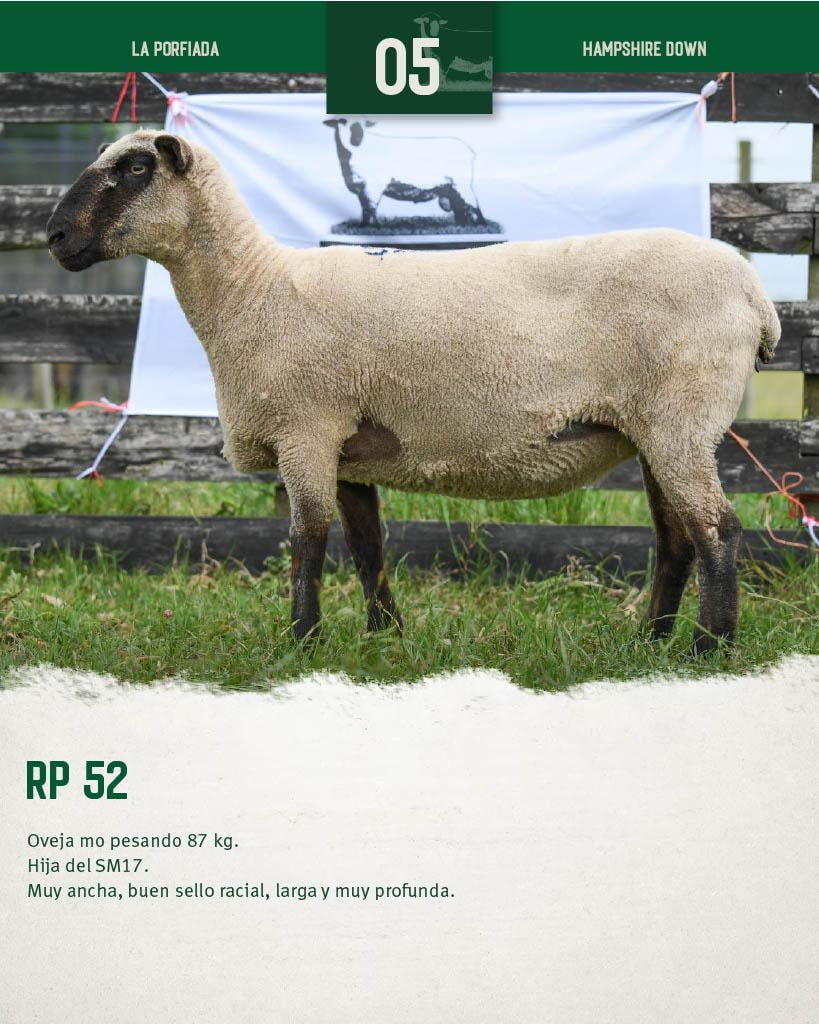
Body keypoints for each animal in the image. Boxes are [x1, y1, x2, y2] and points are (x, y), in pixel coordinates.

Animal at [46, 130, 781, 651]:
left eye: (134, 169)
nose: (53, 236)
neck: (254, 288)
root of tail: (754, 293)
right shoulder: (346, 445)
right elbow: (365, 543)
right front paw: (384, 638)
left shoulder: (307, 427)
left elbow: (306, 540)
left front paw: (301, 643)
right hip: (655, 426)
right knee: (676, 537)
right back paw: (651, 642)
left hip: (681, 416)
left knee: (717, 529)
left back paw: (707, 649)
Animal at [323, 118, 486, 226]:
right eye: (343, 121)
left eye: (364, 123)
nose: (357, 138)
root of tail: (470, 151)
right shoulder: (362, 188)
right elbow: (364, 208)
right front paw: (364, 226)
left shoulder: (373, 187)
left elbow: (370, 207)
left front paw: (373, 227)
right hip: (450, 187)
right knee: (460, 206)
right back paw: (462, 225)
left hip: (461, 183)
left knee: (473, 203)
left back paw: (481, 224)